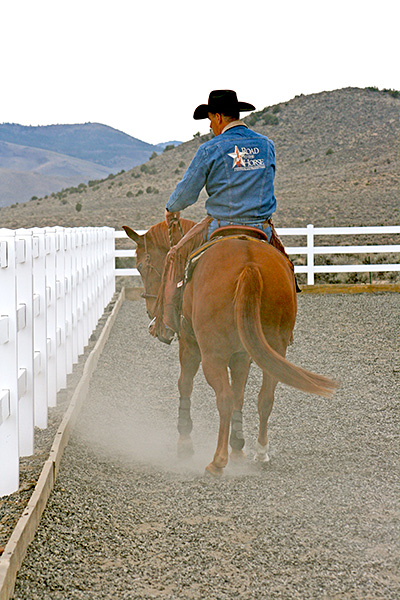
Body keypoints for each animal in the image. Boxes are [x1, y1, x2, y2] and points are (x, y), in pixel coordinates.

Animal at [123, 218, 336, 476]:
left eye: (141, 266)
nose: (149, 308)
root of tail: (249, 264)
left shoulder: (189, 345)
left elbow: (185, 384)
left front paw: (185, 443)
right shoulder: (241, 355)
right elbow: (239, 395)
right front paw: (238, 447)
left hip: (212, 355)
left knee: (223, 397)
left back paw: (218, 460)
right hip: (274, 348)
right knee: (265, 397)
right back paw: (260, 453)